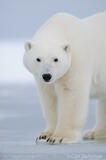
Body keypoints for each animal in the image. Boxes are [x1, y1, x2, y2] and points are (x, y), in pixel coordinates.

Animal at [23, 11, 106, 144]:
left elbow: (71, 95)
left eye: (56, 59)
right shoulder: (44, 82)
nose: (47, 76)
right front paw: (45, 135)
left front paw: (60, 137)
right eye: (38, 59)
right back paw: (95, 133)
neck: (59, 28)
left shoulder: (76, 61)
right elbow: (50, 98)